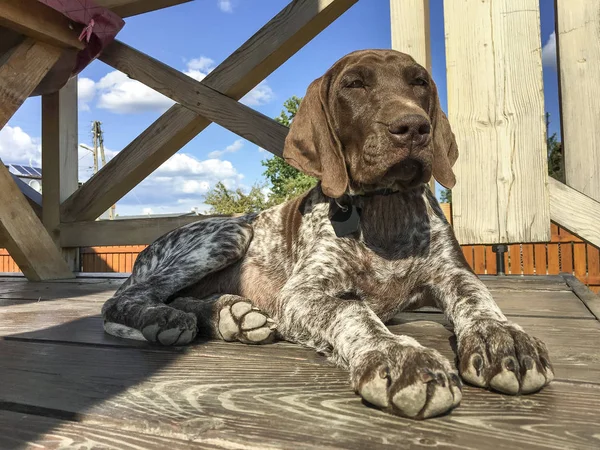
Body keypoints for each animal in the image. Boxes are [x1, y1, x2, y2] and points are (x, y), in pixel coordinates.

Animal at [102, 50, 552, 422]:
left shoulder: (453, 273)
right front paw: (397, 353)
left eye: (419, 82)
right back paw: (165, 318)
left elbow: (478, 298)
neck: (383, 210)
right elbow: (353, 311)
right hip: (232, 231)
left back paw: (230, 315)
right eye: (354, 84)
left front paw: (502, 338)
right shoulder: (303, 293)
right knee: (123, 300)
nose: (413, 127)